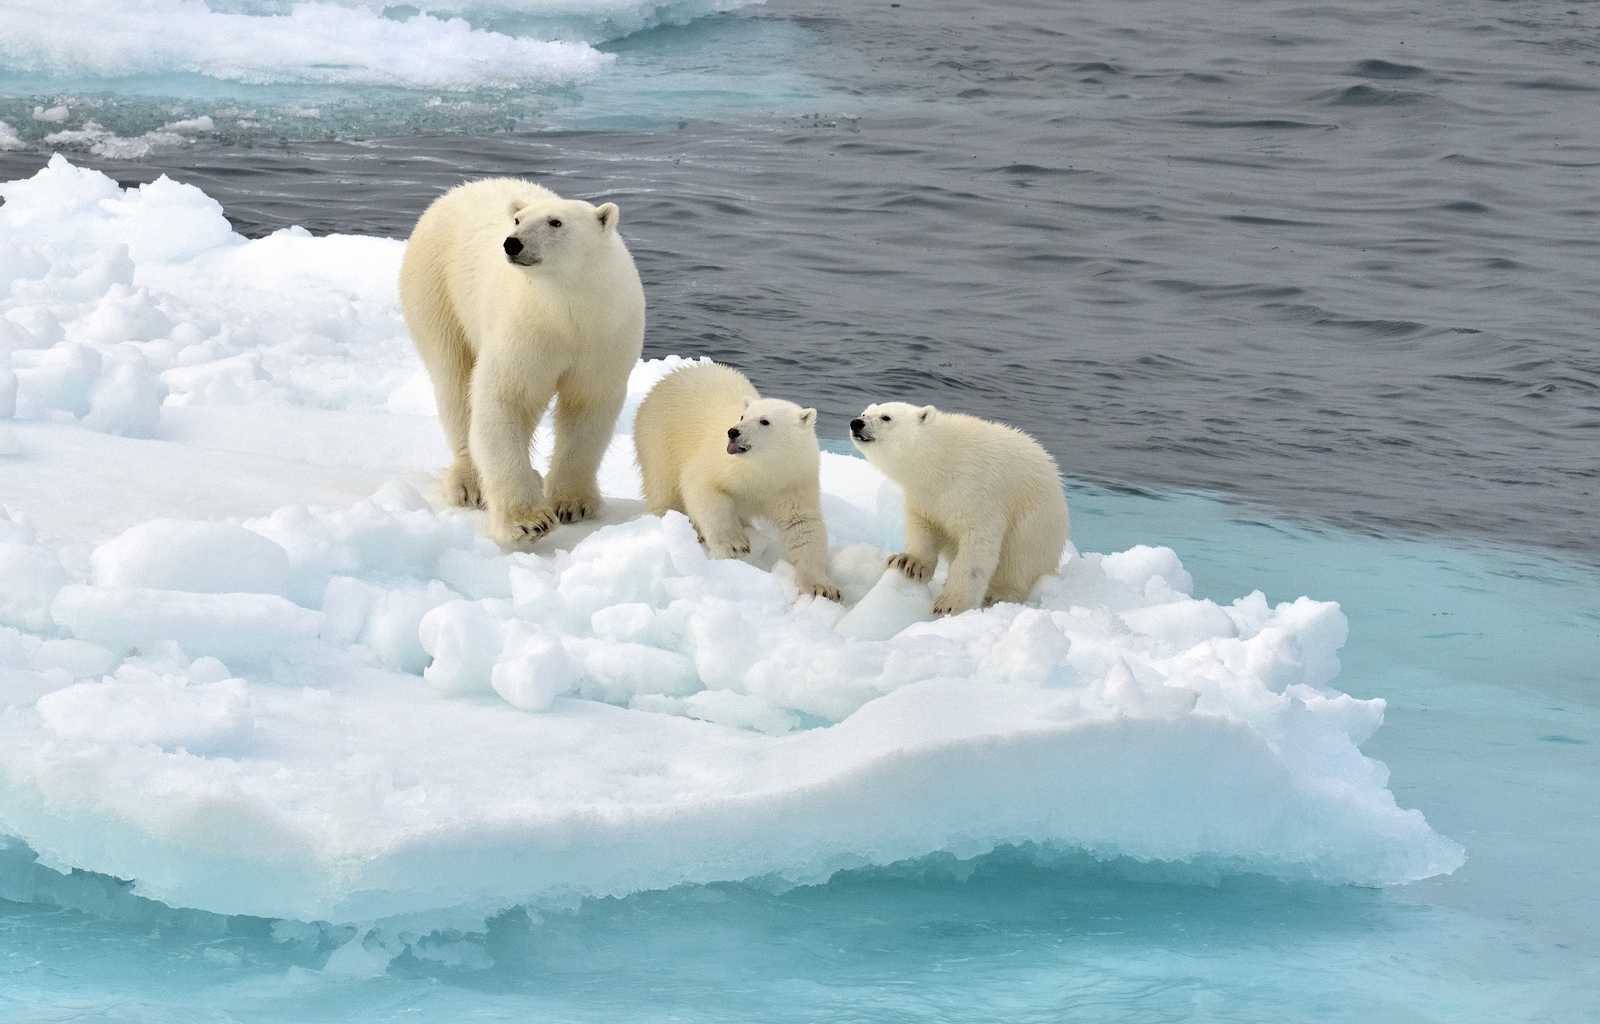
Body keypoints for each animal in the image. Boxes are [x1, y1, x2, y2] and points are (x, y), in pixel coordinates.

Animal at [398, 177, 643, 544]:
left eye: (555, 222)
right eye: (517, 219)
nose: (512, 243)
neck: (567, 307)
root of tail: (457, 190)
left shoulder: (604, 334)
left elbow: (587, 405)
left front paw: (573, 504)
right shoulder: (526, 326)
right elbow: (506, 397)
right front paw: (527, 522)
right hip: (435, 288)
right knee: (453, 378)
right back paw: (470, 484)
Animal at [633, 364, 844, 601]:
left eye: (764, 421)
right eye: (742, 416)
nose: (733, 432)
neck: (763, 470)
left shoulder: (793, 483)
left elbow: (803, 527)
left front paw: (823, 588)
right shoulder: (724, 465)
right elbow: (701, 485)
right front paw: (734, 544)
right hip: (658, 436)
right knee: (662, 482)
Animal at [851, 401, 1062, 614]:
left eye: (886, 417)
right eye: (865, 413)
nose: (856, 423)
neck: (942, 459)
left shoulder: (976, 489)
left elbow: (978, 544)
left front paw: (950, 603)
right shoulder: (923, 496)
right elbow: (922, 526)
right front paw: (907, 562)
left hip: (1035, 523)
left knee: (1020, 559)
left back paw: (999, 594)